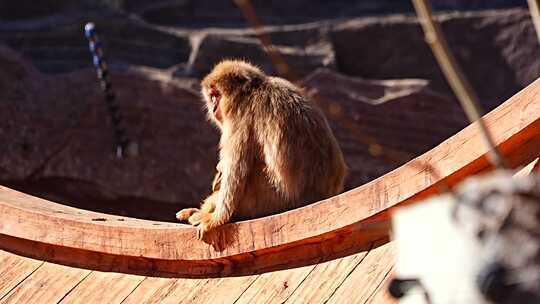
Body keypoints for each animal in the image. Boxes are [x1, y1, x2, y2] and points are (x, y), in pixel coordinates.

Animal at [175, 60, 348, 239]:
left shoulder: (241, 117)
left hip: (270, 199)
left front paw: (216, 219)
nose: (213, 107)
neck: (252, 91)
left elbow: (236, 171)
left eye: (216, 95)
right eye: (212, 97)